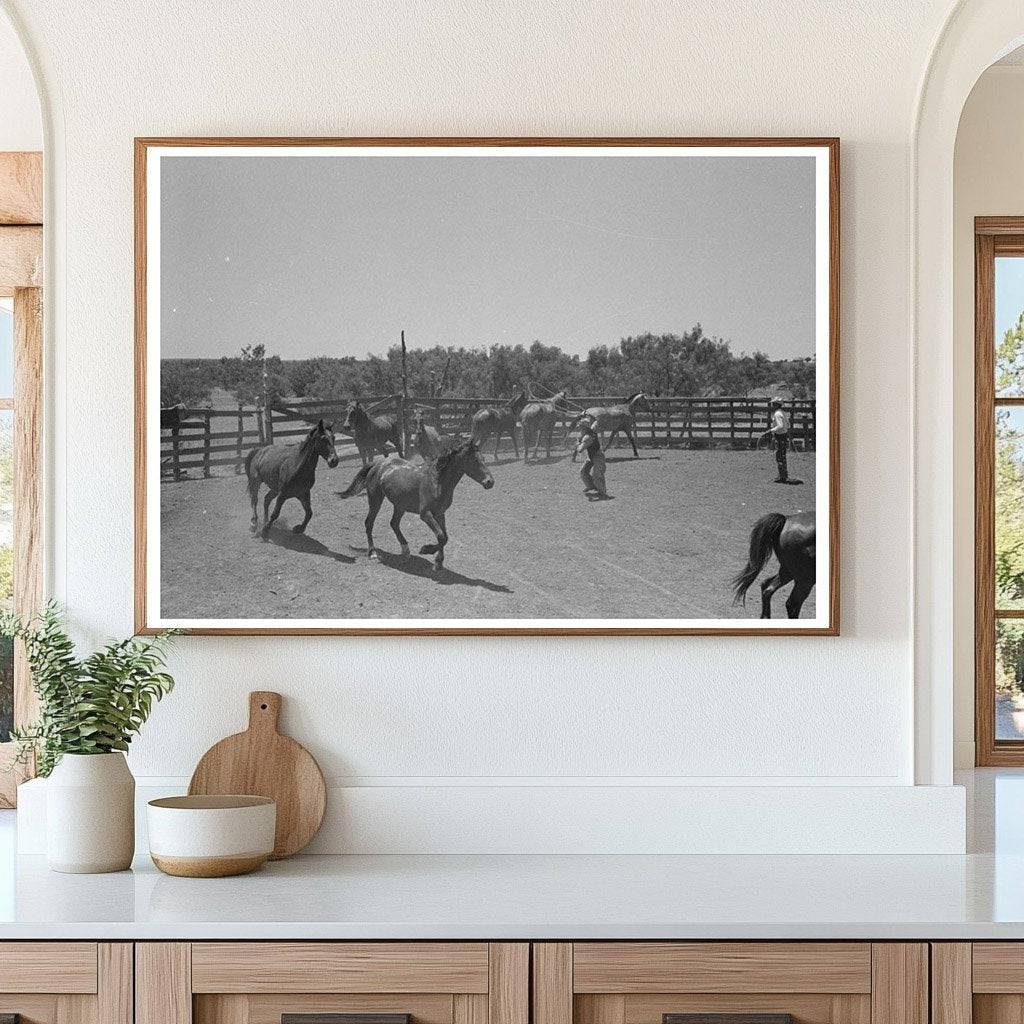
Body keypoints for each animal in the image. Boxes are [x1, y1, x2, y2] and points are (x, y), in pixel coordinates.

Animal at [337, 438, 493, 573]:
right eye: (474, 460)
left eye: (484, 459)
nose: (490, 482)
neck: (437, 482)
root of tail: (378, 463)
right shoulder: (425, 514)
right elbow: (441, 535)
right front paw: (428, 552)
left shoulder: (440, 513)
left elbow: (445, 537)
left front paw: (438, 562)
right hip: (376, 499)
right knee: (369, 523)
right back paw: (373, 553)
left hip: (400, 505)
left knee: (394, 523)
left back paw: (406, 552)